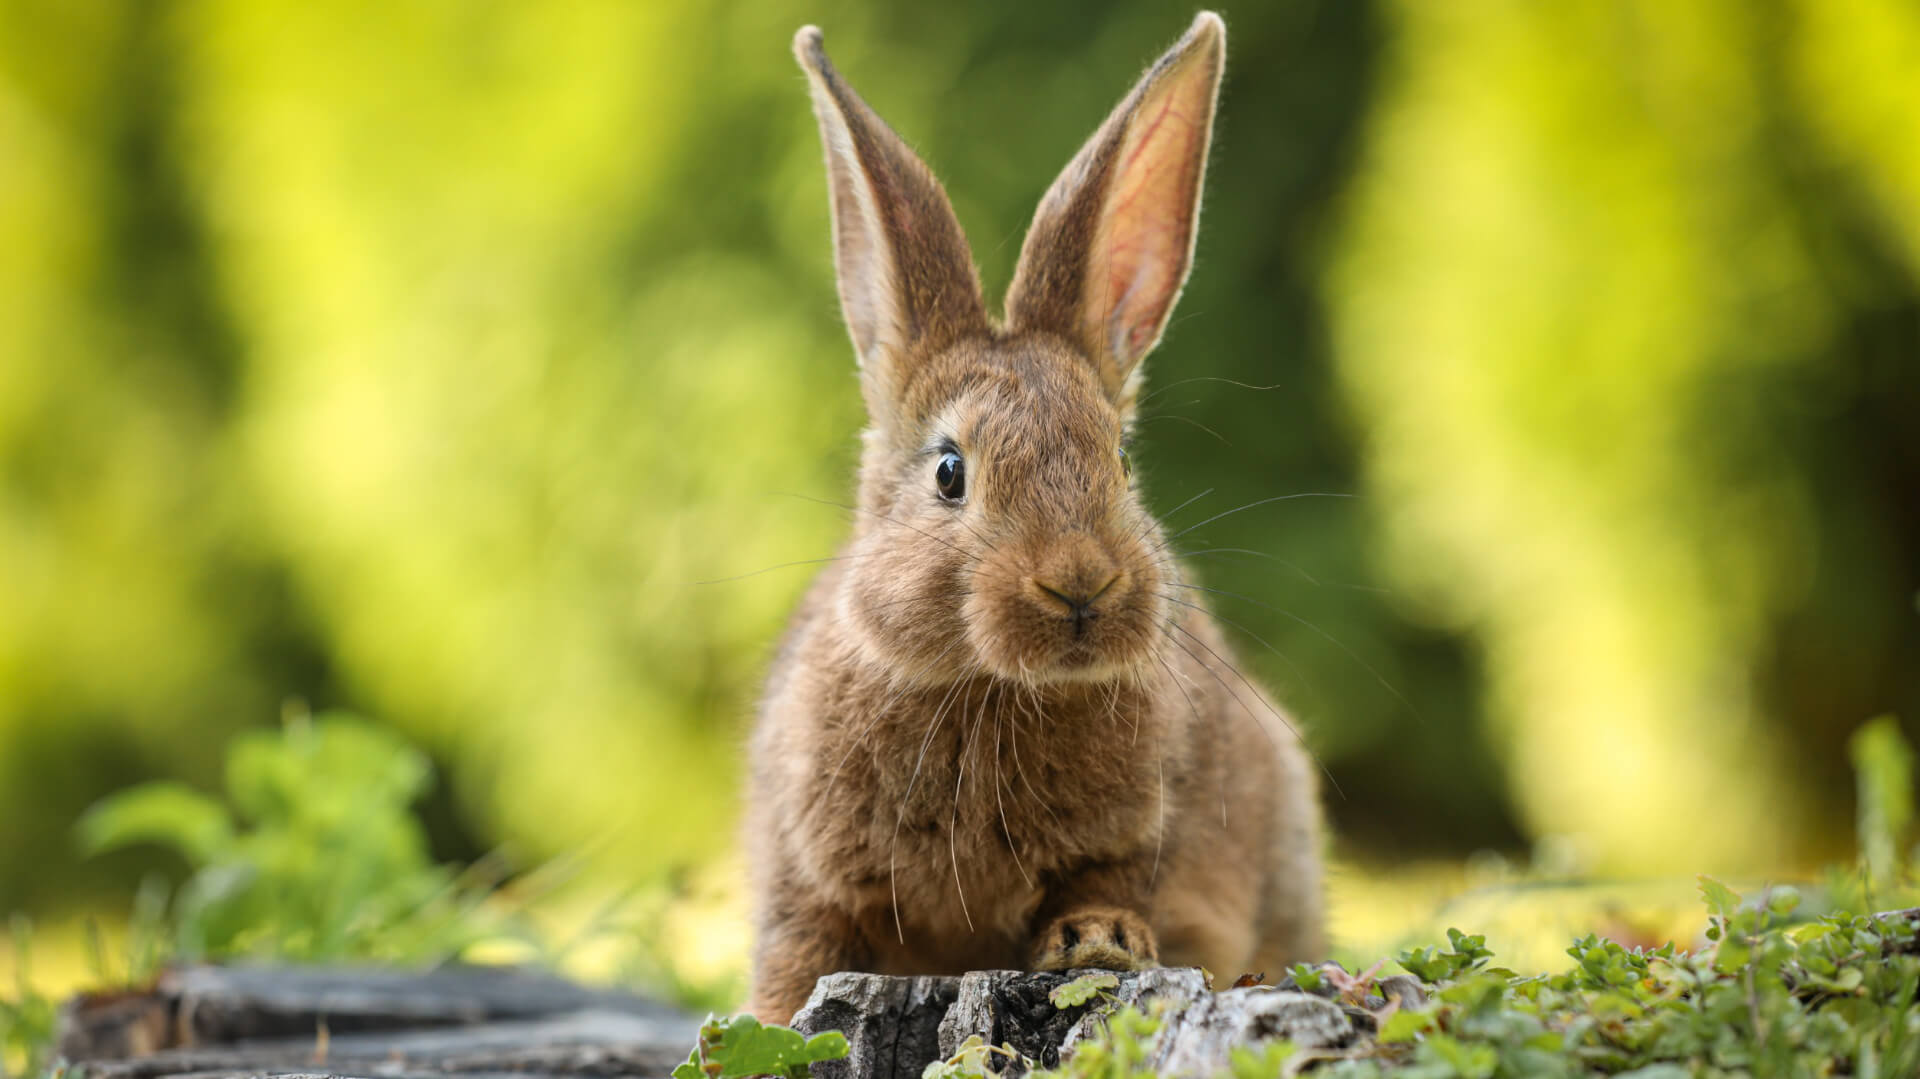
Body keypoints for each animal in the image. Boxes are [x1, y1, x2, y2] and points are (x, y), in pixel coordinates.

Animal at [746, 11, 1324, 1023]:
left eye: (1121, 461)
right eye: (950, 472)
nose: (1082, 583)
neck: (991, 688)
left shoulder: (1146, 837)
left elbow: (1107, 883)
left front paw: (1098, 941)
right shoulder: (805, 878)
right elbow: (798, 962)